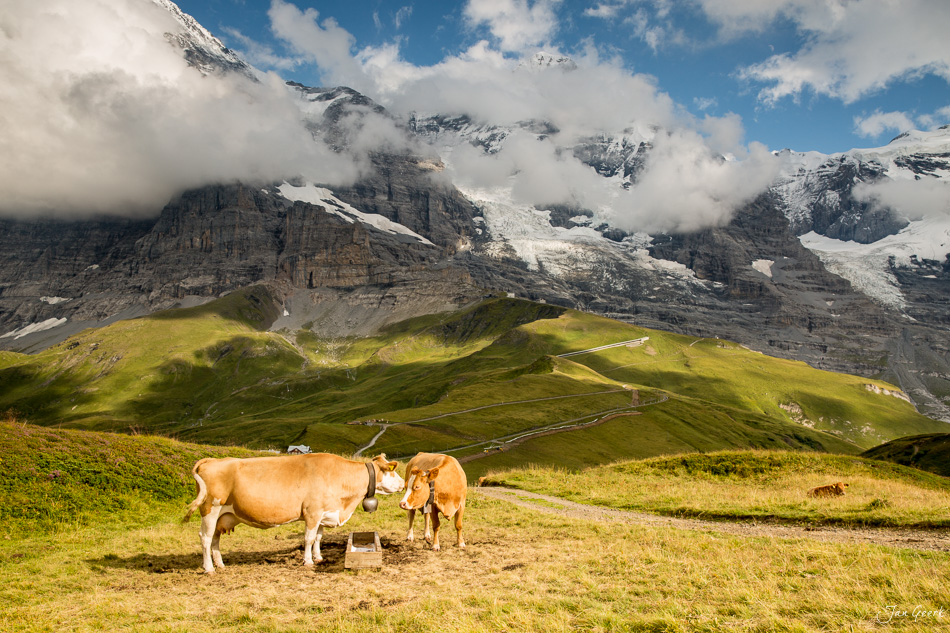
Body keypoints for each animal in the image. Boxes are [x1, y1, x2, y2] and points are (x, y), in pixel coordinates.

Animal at [183, 453, 403, 573]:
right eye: (392, 472)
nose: (402, 484)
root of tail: (212, 460)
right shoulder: (312, 512)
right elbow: (308, 538)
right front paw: (307, 561)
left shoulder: (323, 513)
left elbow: (318, 538)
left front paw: (318, 557)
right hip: (210, 509)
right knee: (205, 538)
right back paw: (209, 568)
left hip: (221, 515)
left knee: (215, 539)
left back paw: (220, 564)